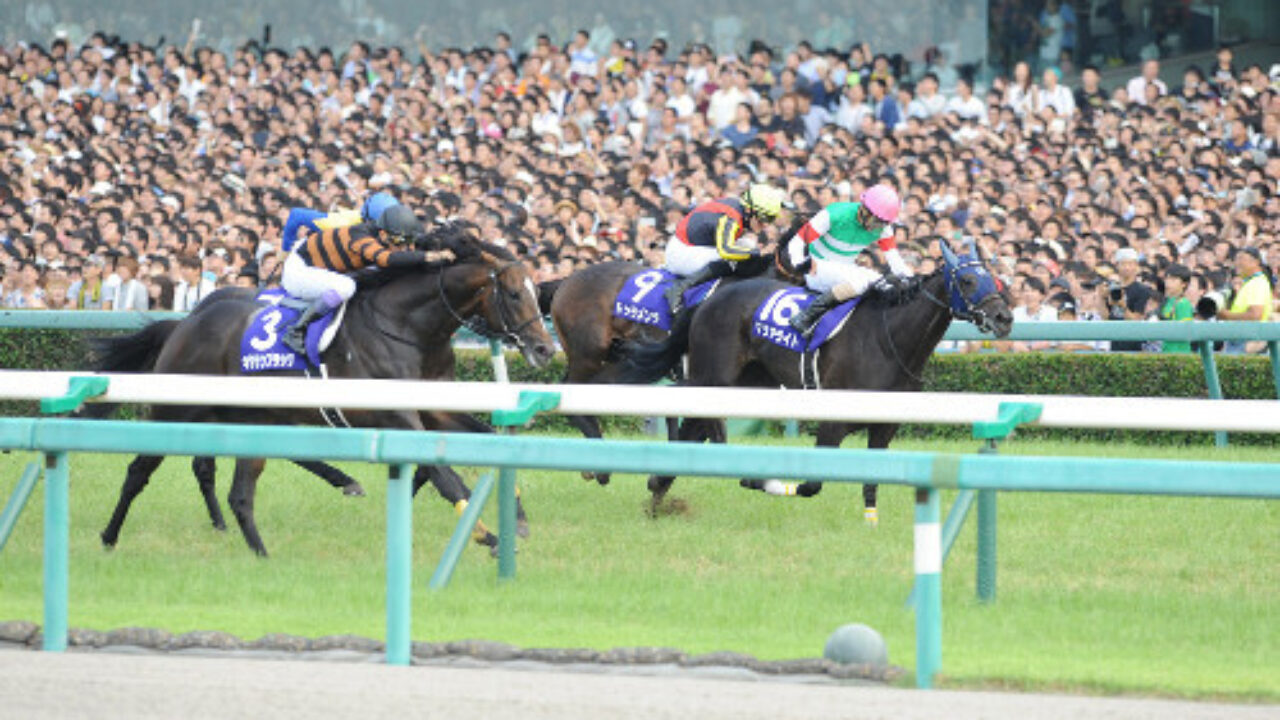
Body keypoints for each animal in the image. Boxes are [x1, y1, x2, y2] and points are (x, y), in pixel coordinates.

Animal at [90, 233, 550, 550]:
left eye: (537, 292)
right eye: (514, 293)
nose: (544, 348)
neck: (406, 327)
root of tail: (185, 323)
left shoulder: (435, 406)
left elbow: (487, 440)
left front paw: (519, 517)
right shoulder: (396, 414)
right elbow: (445, 476)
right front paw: (488, 536)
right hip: (179, 406)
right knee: (140, 469)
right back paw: (109, 536)